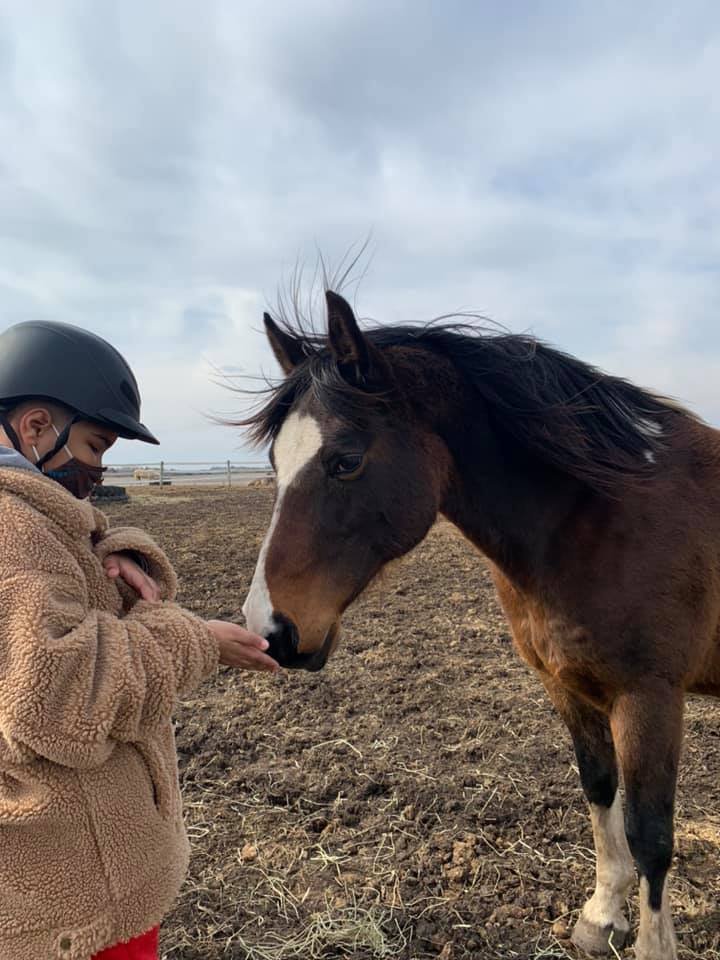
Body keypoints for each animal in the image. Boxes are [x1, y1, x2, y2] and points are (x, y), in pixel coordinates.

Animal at [239, 289, 720, 960]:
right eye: (275, 462)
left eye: (346, 460)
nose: (270, 628)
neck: (600, 517)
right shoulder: (566, 685)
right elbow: (599, 788)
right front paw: (602, 914)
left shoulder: (649, 696)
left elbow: (650, 832)